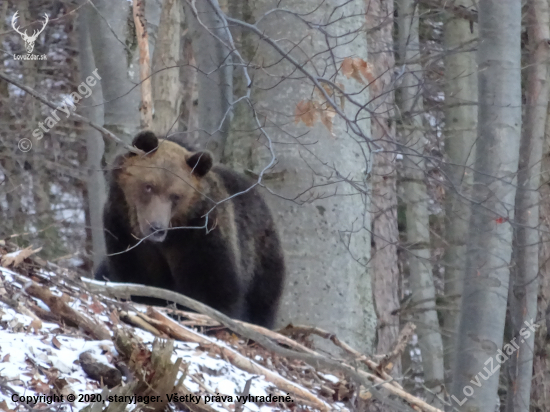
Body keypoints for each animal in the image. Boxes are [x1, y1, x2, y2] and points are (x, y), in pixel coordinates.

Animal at [95, 132, 286, 328]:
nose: (156, 228)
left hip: (261, 263)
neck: (169, 239)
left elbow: (213, 289)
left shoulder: (200, 237)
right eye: (149, 186)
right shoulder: (123, 230)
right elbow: (136, 278)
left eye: (176, 196)